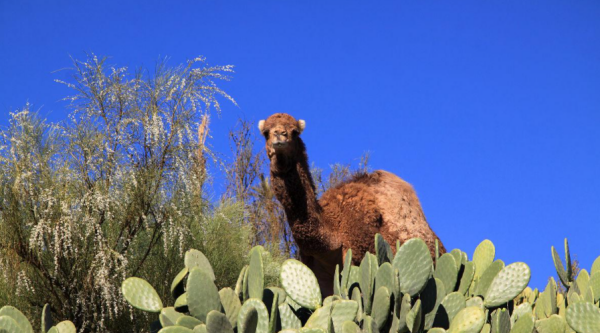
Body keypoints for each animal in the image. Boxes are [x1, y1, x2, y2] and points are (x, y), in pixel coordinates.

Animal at [258, 113, 446, 294]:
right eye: (266, 133)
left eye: (295, 132)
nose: (279, 135)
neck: (332, 231)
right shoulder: (317, 273)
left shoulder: (357, 257)